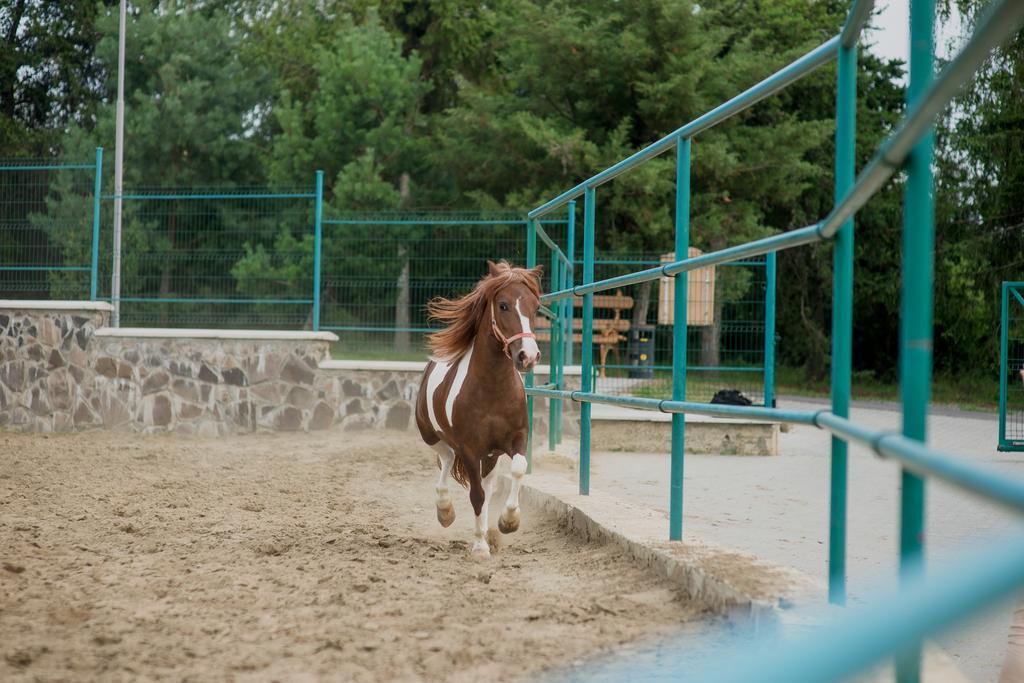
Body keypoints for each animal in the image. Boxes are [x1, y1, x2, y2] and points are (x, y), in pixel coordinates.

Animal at [413, 259, 544, 557]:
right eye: (503, 305)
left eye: (536, 307)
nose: (528, 356)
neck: (492, 390)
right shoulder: (470, 449)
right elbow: (476, 496)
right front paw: (481, 547)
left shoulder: (517, 438)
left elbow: (518, 469)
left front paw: (508, 522)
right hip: (432, 436)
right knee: (447, 460)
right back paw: (446, 512)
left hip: (491, 455)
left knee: (486, 482)